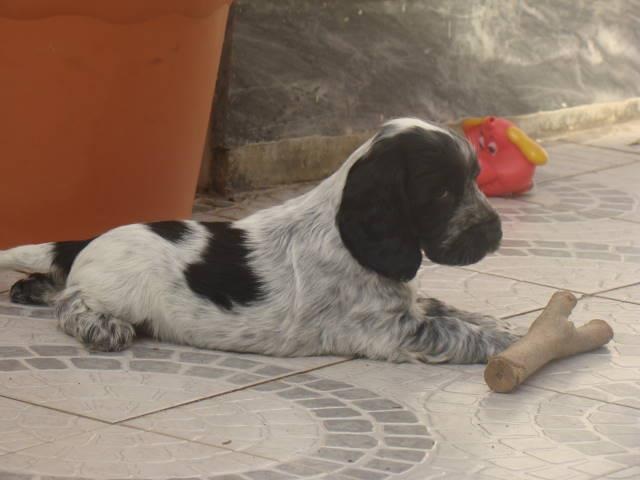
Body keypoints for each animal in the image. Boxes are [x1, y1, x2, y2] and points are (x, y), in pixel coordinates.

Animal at [0, 118, 517, 363]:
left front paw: (492, 319)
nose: (495, 233)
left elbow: (445, 307)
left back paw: (31, 288)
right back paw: (100, 326)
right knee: (72, 303)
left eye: (475, 178)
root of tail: (91, 237)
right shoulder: (388, 330)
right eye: (442, 192)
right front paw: (507, 339)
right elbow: (457, 331)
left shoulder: (405, 308)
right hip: (120, 291)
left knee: (59, 281)